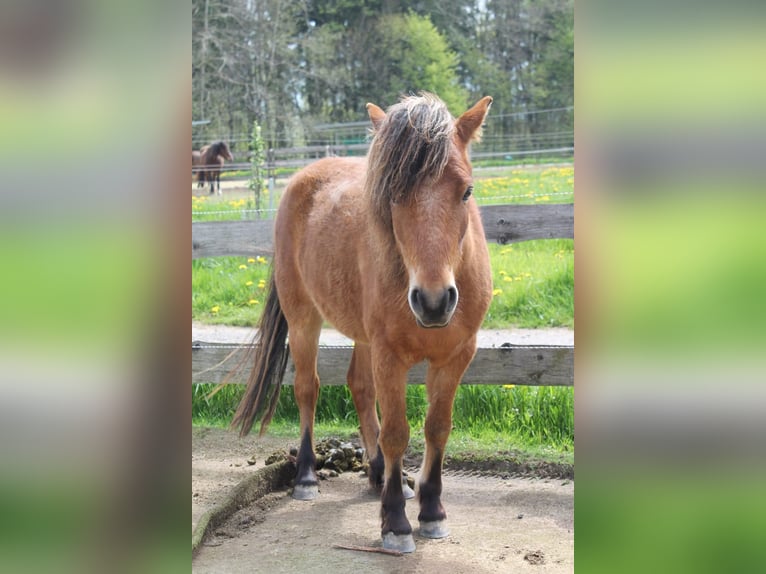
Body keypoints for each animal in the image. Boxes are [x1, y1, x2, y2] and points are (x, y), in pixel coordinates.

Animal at [234, 93, 496, 552]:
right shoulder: (390, 355)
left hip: (364, 337)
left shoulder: (455, 356)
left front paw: (431, 510)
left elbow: (437, 428)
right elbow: (396, 432)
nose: (433, 302)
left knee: (359, 387)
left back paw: (377, 474)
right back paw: (307, 476)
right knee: (308, 389)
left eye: (466, 191)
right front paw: (396, 522)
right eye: (392, 195)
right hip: (304, 320)